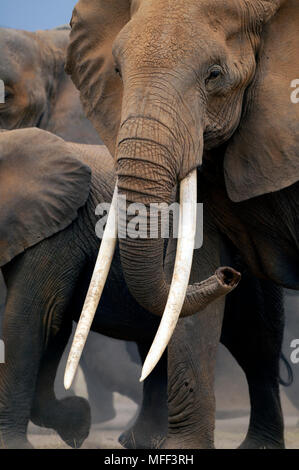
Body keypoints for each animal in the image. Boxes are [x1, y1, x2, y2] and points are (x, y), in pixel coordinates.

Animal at [0, 126, 288, 450]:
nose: (228, 275)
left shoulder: (58, 232)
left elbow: (30, 320)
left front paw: (18, 443)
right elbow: (52, 325)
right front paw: (78, 424)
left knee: (258, 345)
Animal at [65, 0, 298, 448]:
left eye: (215, 75)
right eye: (117, 71)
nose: (229, 275)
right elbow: (194, 268)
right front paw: (182, 448)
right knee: (260, 336)